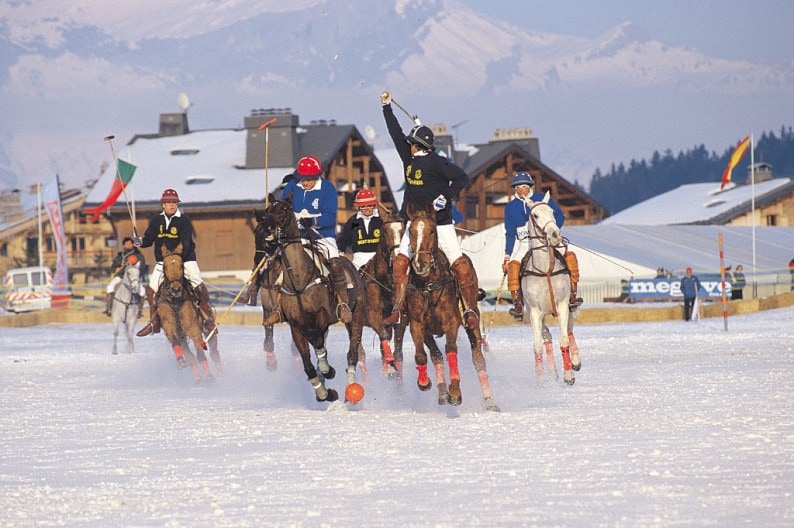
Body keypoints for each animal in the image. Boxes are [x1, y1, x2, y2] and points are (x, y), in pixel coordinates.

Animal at [157, 245, 223, 386]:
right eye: (164, 266)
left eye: (182, 265)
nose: (176, 289)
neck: (175, 302)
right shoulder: (170, 329)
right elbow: (178, 345)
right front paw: (181, 361)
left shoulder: (193, 329)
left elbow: (200, 355)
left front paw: (209, 378)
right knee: (191, 356)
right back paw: (197, 379)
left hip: (209, 329)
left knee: (214, 353)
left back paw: (221, 375)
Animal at [258, 196, 366, 402]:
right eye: (267, 211)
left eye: (285, 209)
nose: (267, 230)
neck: (299, 282)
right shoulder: (296, 326)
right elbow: (307, 363)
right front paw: (324, 392)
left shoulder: (322, 317)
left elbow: (317, 343)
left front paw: (328, 371)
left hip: (355, 315)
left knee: (353, 352)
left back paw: (350, 386)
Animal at [358, 212, 408, 382]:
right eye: (384, 232)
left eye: (403, 231)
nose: (398, 258)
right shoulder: (373, 316)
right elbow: (384, 336)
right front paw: (390, 369)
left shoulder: (400, 319)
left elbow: (398, 351)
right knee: (360, 354)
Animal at [406, 200, 498, 410]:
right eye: (410, 231)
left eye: (432, 231)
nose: (420, 264)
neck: (429, 286)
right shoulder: (418, 325)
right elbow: (423, 355)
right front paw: (425, 383)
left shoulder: (451, 323)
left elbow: (451, 350)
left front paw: (455, 392)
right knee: (436, 356)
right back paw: (442, 393)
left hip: (473, 323)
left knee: (478, 359)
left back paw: (489, 401)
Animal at [516, 193, 580, 384]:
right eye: (535, 215)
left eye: (553, 211)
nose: (555, 235)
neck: (546, 270)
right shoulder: (534, 312)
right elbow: (537, 346)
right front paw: (541, 381)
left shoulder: (563, 305)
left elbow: (564, 339)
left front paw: (569, 375)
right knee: (547, 337)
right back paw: (552, 372)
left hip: (571, 305)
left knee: (569, 331)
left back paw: (575, 361)